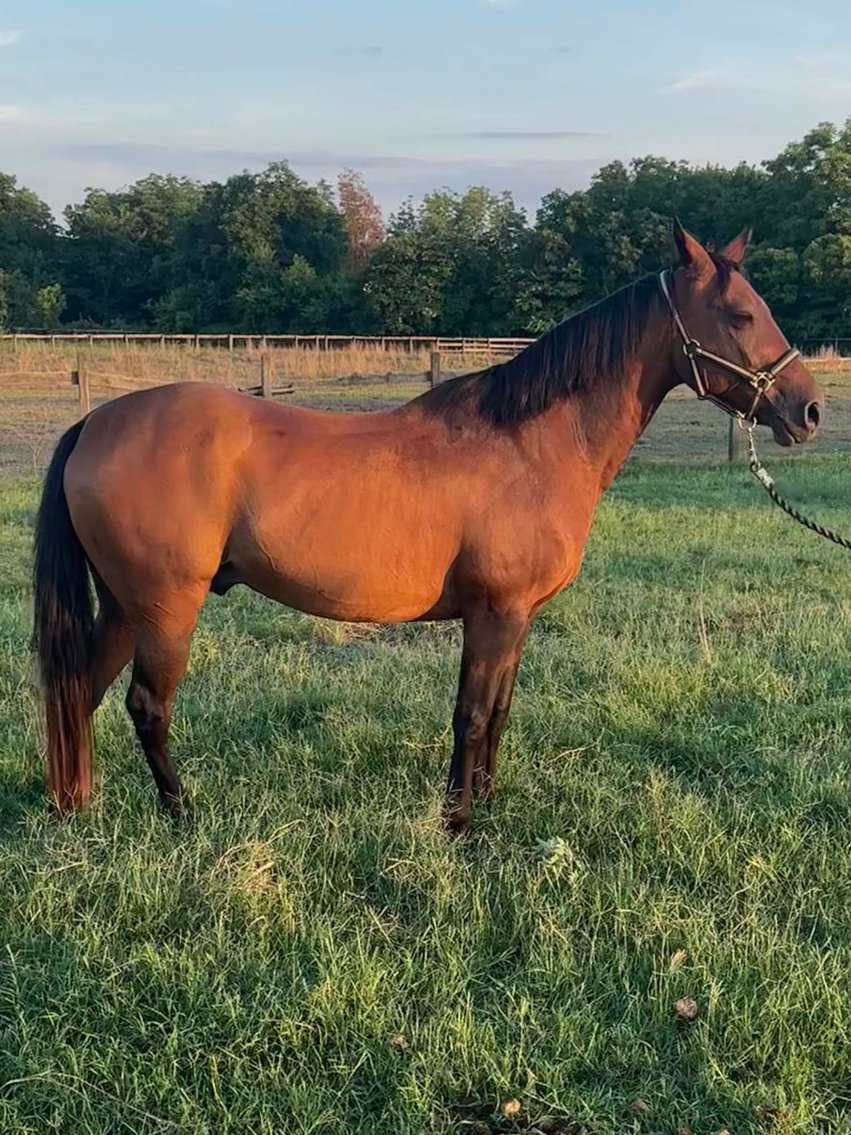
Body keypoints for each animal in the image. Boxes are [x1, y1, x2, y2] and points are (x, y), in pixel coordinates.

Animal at [32, 222, 823, 832]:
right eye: (740, 314)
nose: (808, 410)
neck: (530, 443)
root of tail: (94, 422)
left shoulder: (516, 617)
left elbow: (498, 710)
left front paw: (487, 804)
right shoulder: (493, 614)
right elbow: (470, 715)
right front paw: (459, 822)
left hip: (125, 609)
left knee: (80, 691)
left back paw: (77, 806)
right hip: (167, 609)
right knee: (146, 706)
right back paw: (181, 813)